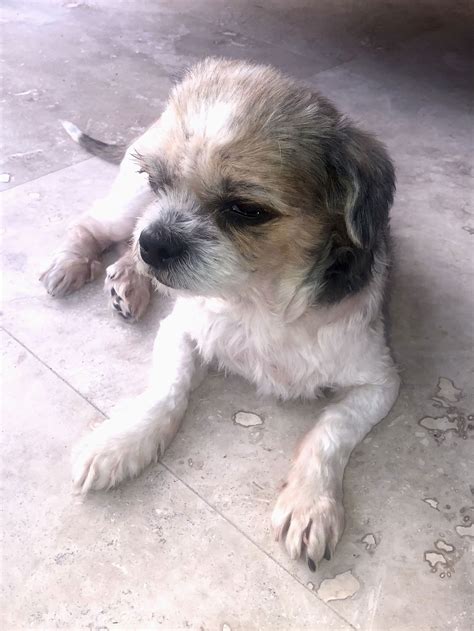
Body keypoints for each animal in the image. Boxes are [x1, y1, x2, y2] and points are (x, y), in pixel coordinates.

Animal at [40, 58, 400, 570]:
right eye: (159, 182)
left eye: (246, 209)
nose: (156, 245)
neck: (259, 299)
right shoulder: (179, 330)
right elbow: (165, 392)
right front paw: (122, 441)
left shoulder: (378, 382)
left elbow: (330, 430)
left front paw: (310, 503)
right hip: (128, 208)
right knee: (95, 225)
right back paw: (74, 264)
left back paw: (130, 279)